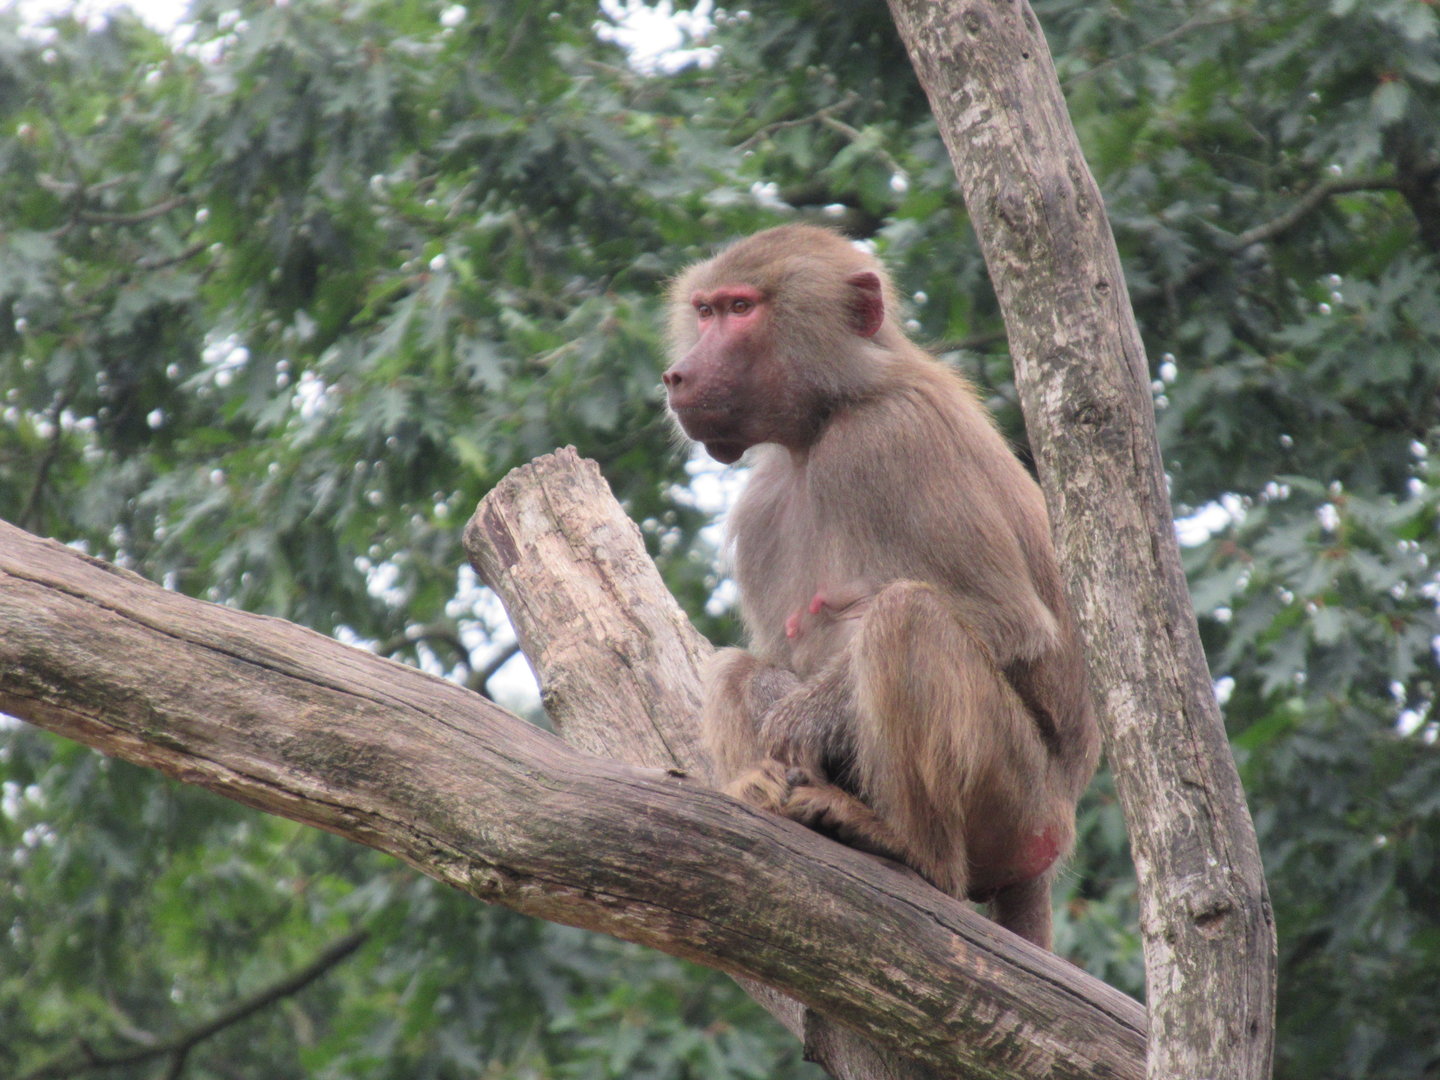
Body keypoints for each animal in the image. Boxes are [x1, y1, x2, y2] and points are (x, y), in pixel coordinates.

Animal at [662, 224, 1100, 949]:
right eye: (704, 311)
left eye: (741, 309)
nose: (676, 375)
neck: (826, 420)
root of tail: (1056, 831)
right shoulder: (760, 509)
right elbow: (773, 661)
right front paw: (770, 728)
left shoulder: (895, 436)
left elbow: (1006, 620)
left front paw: (796, 719)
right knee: (732, 667)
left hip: (1017, 803)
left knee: (907, 617)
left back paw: (907, 847)